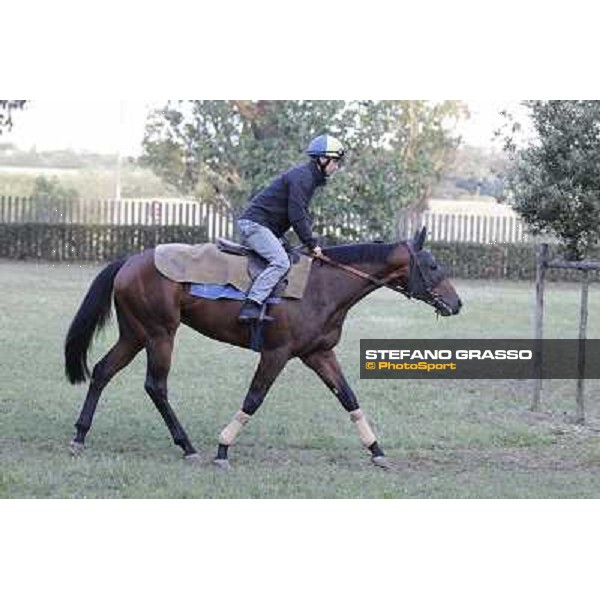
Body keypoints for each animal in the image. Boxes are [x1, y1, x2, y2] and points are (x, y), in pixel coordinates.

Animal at [64, 227, 460, 466]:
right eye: (432, 265)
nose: (456, 304)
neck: (322, 286)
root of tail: (130, 260)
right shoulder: (277, 354)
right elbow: (254, 398)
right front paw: (223, 447)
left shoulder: (319, 354)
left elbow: (348, 398)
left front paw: (376, 450)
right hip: (160, 335)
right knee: (155, 386)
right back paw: (187, 445)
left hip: (135, 335)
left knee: (102, 372)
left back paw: (81, 435)